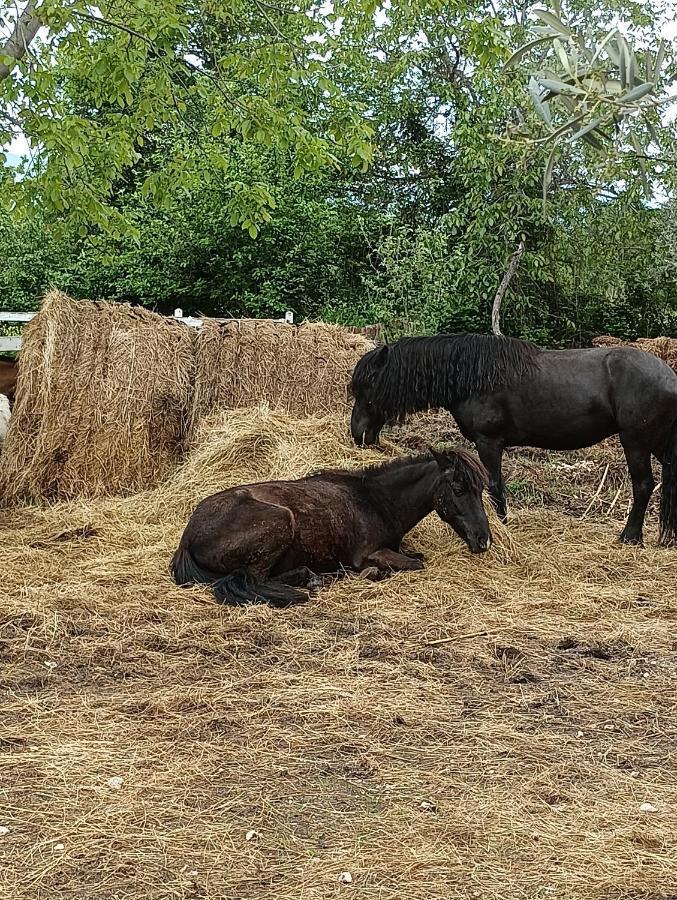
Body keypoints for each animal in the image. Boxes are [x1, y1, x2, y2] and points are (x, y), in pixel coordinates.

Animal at [172, 448, 492, 608]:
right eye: (459, 489)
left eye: (480, 489)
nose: (484, 540)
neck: (376, 500)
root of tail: (188, 537)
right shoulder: (370, 553)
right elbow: (414, 564)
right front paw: (370, 573)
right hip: (281, 521)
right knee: (256, 579)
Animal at [348, 334, 676, 544]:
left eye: (369, 384)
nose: (358, 434)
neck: (473, 378)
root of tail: (669, 375)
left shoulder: (489, 442)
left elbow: (494, 486)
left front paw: (500, 526)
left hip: (636, 442)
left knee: (643, 484)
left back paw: (630, 537)